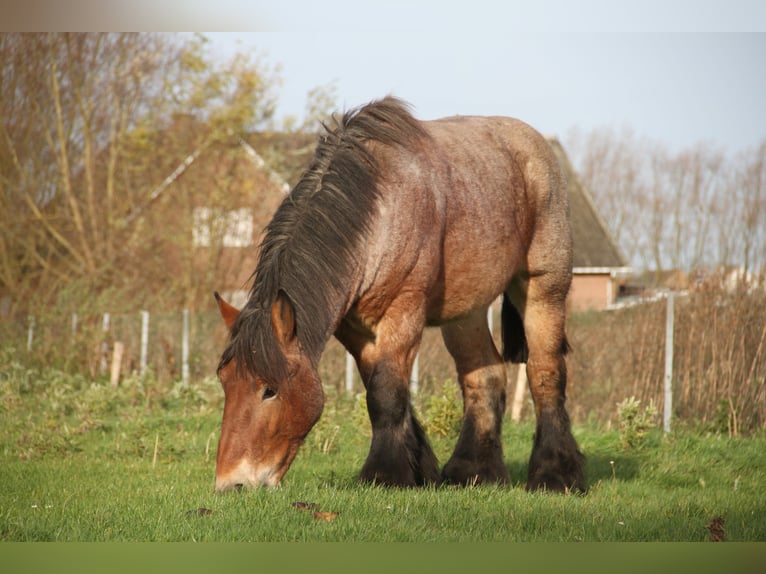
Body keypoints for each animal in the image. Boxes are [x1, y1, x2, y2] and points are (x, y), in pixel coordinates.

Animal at [216, 97, 588, 492]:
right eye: (225, 380)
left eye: (269, 389)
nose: (232, 483)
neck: (376, 218)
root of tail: (537, 145)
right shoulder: (356, 331)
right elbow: (383, 390)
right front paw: (417, 469)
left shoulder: (402, 314)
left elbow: (386, 392)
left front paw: (385, 473)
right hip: (466, 314)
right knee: (485, 376)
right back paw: (473, 471)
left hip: (544, 290)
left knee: (545, 372)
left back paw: (555, 474)